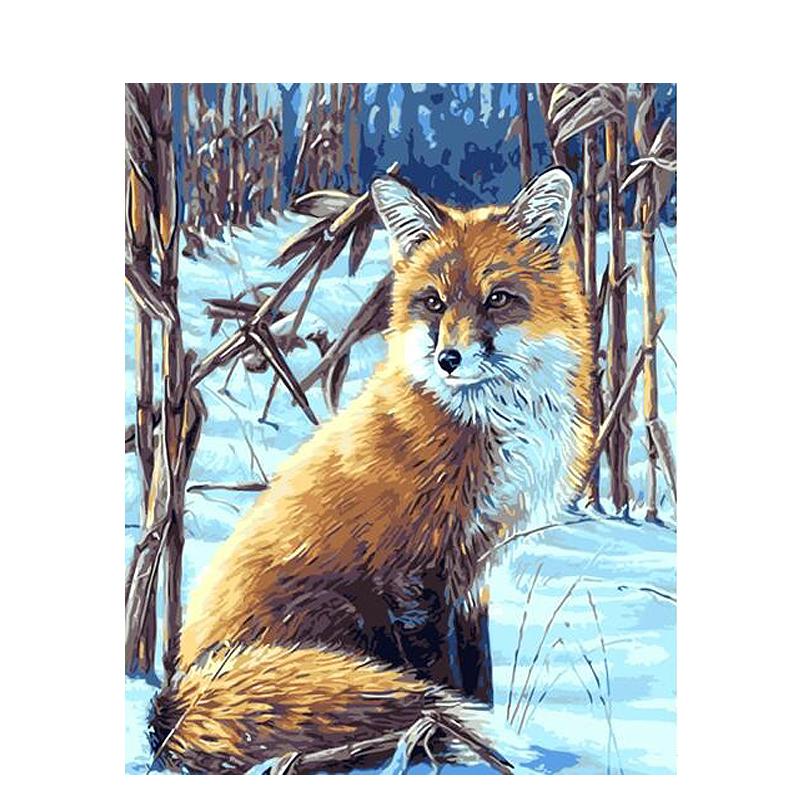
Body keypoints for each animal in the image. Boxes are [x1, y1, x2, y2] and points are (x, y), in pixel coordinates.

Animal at [149, 167, 595, 774]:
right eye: (432, 303)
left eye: (498, 299)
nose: (449, 359)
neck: (489, 421)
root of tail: (174, 699)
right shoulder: (413, 573)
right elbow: (441, 677)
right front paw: (457, 745)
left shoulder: (473, 572)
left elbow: (478, 676)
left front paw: (479, 741)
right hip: (341, 616)